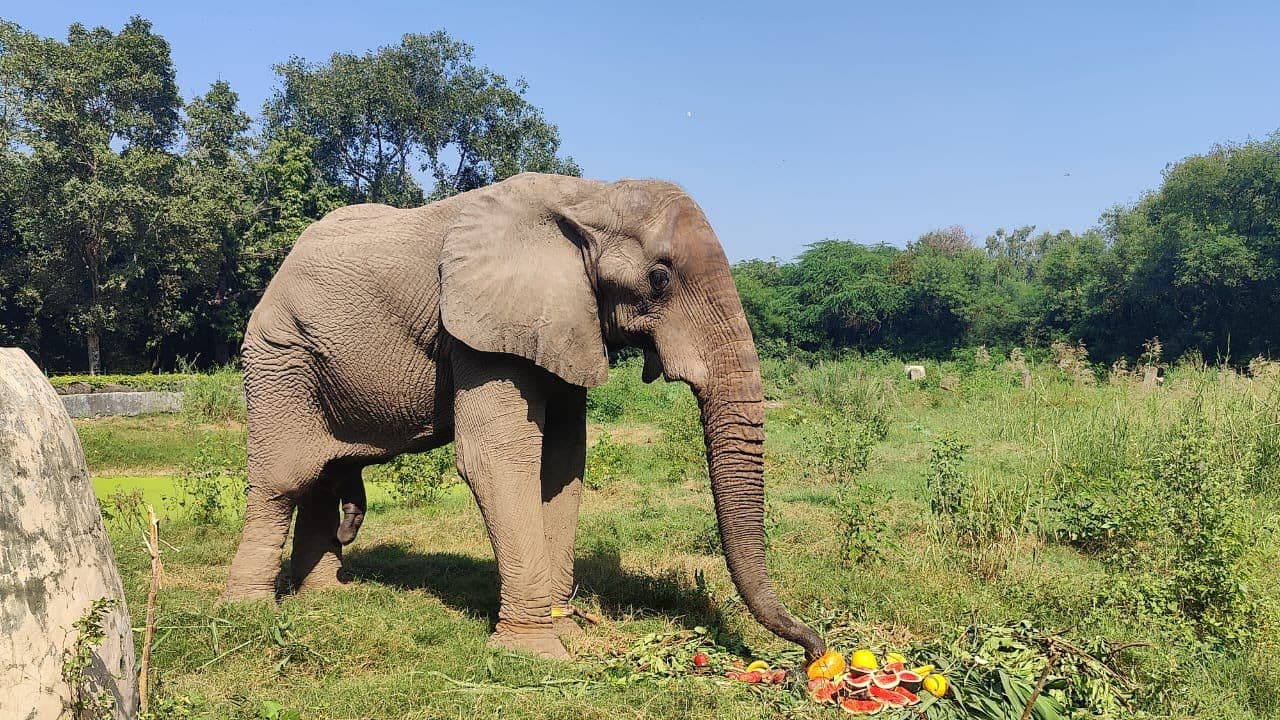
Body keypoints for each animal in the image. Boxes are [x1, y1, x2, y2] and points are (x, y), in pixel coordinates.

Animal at [224, 170, 824, 661]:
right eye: (659, 278)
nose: (815, 648)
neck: (589, 197)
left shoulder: (565, 323)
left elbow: (562, 463)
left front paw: (569, 631)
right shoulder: (483, 329)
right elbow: (499, 457)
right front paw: (538, 651)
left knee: (322, 475)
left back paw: (324, 598)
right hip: (280, 355)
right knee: (285, 477)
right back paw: (251, 610)